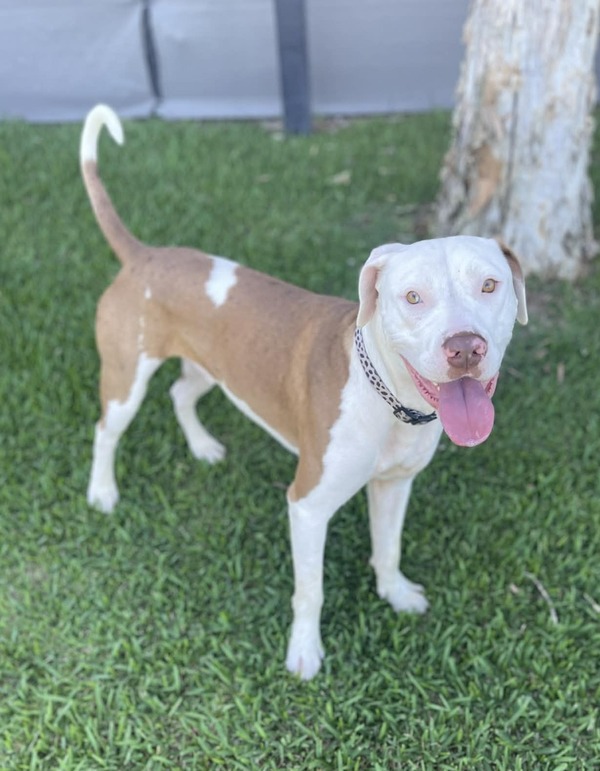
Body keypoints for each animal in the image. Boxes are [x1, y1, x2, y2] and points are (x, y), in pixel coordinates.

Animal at [81, 105, 528, 679]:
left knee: (181, 393)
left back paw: (202, 446)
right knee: (106, 430)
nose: (465, 348)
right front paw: (304, 651)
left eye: (490, 285)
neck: (390, 402)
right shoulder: (308, 505)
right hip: (124, 378)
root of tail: (144, 255)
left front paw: (395, 593)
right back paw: (102, 491)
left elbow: (388, 547)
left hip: (213, 366)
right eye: (412, 297)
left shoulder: (394, 485)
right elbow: (310, 590)